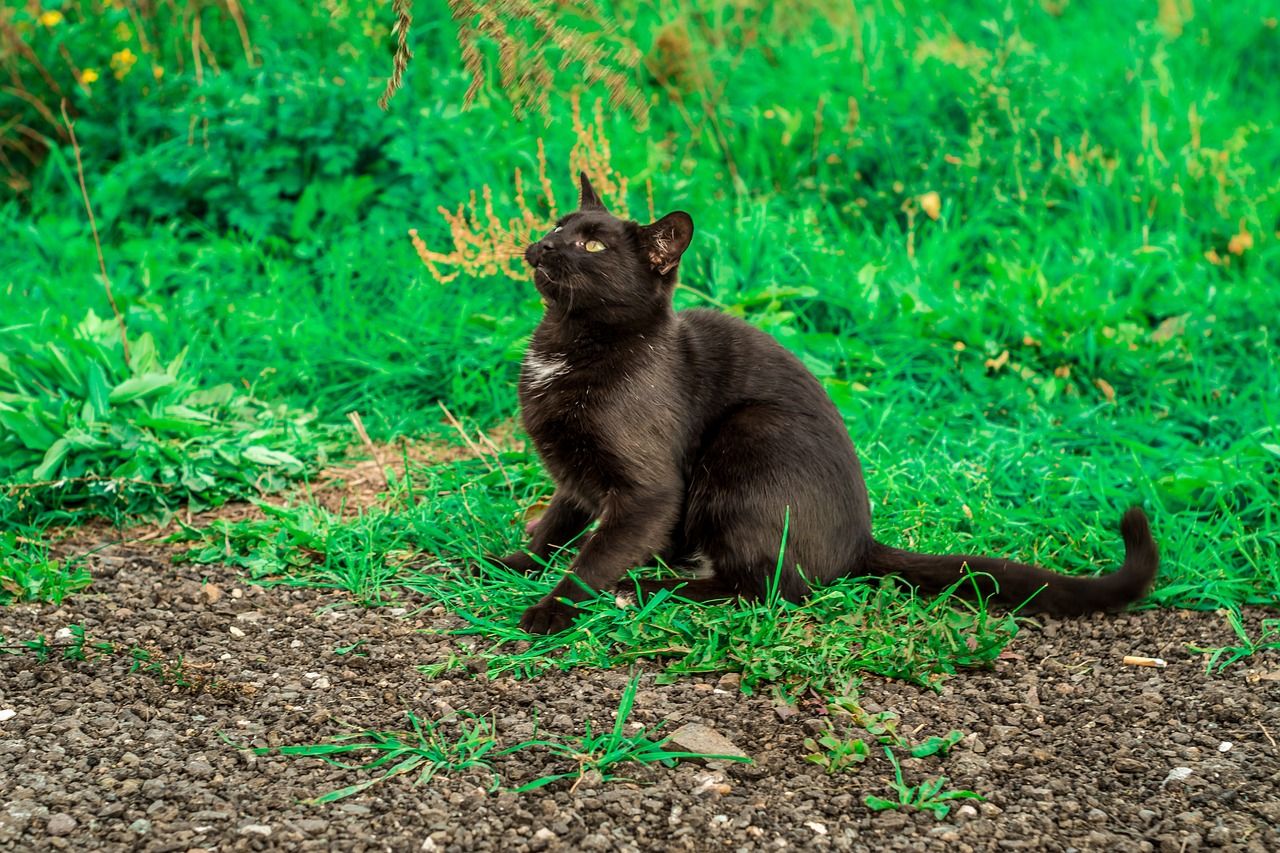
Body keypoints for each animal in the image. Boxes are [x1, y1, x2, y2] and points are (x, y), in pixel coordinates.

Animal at [481, 175, 1162, 635]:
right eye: (558, 223)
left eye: (593, 246)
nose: (543, 244)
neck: (569, 343)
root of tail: (858, 543)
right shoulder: (574, 473)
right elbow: (557, 523)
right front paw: (515, 561)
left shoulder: (647, 491)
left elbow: (595, 554)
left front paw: (553, 608)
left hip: (749, 438)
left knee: (766, 586)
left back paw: (649, 584)